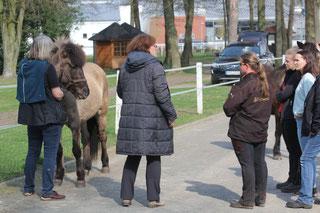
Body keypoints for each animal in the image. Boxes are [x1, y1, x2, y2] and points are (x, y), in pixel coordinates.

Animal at [49, 38, 110, 186]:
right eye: (72, 66)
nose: (85, 92)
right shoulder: (58, 126)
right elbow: (59, 151)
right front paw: (59, 176)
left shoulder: (75, 126)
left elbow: (76, 150)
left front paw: (80, 177)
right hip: (85, 120)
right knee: (86, 139)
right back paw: (87, 167)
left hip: (101, 114)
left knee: (102, 137)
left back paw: (105, 165)